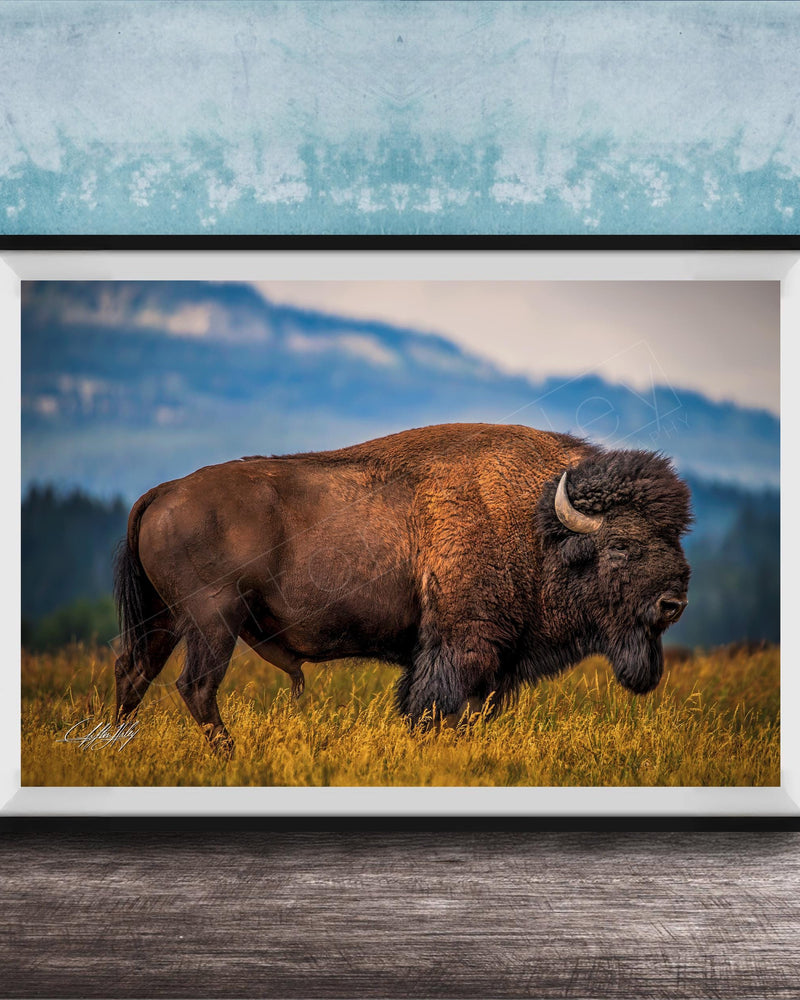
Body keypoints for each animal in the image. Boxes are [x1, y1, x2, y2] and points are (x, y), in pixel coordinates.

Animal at [114, 423, 691, 751]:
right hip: (214, 621)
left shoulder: (489, 664)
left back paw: (116, 747)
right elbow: (433, 708)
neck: (535, 521)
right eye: (620, 545)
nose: (674, 603)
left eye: (674, 536)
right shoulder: (460, 646)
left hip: (166, 621)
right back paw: (230, 754)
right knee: (195, 686)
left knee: (133, 673)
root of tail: (163, 491)